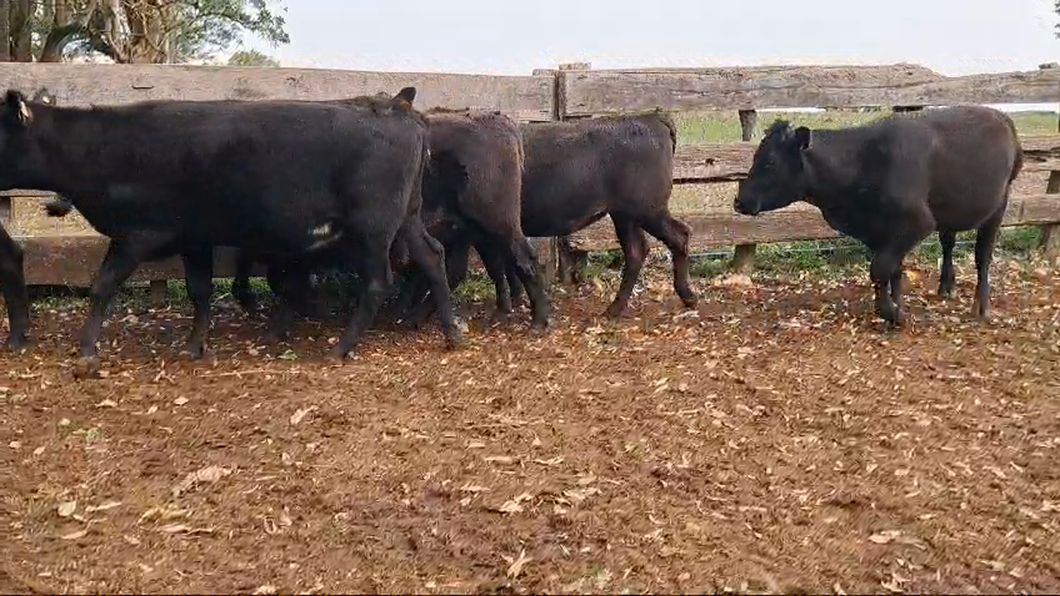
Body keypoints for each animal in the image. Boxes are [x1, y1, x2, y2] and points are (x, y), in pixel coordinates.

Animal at [1, 85, 464, 373]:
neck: (106, 147)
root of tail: (400, 111)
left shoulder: (137, 235)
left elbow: (102, 285)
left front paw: (86, 351)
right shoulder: (194, 237)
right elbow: (200, 291)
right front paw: (195, 344)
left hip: (373, 229)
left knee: (377, 282)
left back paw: (342, 347)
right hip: (406, 219)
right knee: (432, 257)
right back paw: (451, 333)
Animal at [733, 104, 1021, 322]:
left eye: (770, 161)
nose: (739, 201)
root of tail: (1002, 117)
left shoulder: (917, 222)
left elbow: (880, 268)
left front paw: (891, 313)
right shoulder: (879, 231)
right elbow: (891, 269)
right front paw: (895, 303)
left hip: (997, 208)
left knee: (983, 257)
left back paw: (981, 306)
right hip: (949, 212)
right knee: (948, 243)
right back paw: (946, 287)